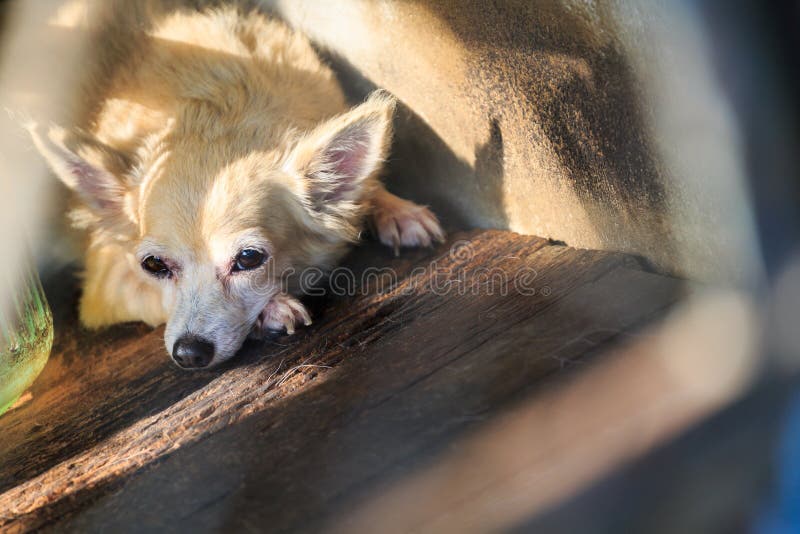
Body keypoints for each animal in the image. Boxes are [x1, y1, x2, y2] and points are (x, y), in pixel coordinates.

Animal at [29, 4, 444, 370]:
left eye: (248, 259)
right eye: (153, 265)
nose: (189, 353)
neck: (218, 110)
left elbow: (363, 184)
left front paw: (396, 210)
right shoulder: (105, 288)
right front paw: (271, 309)